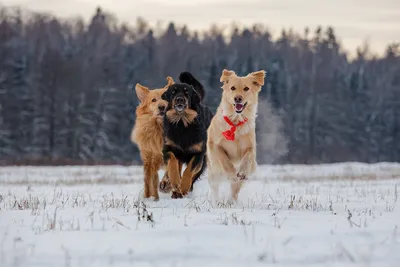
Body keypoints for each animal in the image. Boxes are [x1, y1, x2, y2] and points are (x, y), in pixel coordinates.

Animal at [206, 69, 266, 205]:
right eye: (232, 88)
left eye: (246, 88)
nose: (237, 98)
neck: (236, 122)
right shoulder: (215, 145)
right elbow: (225, 161)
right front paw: (232, 175)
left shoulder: (250, 147)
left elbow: (247, 158)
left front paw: (241, 172)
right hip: (213, 171)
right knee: (214, 186)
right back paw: (216, 201)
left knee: (236, 188)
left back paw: (231, 201)